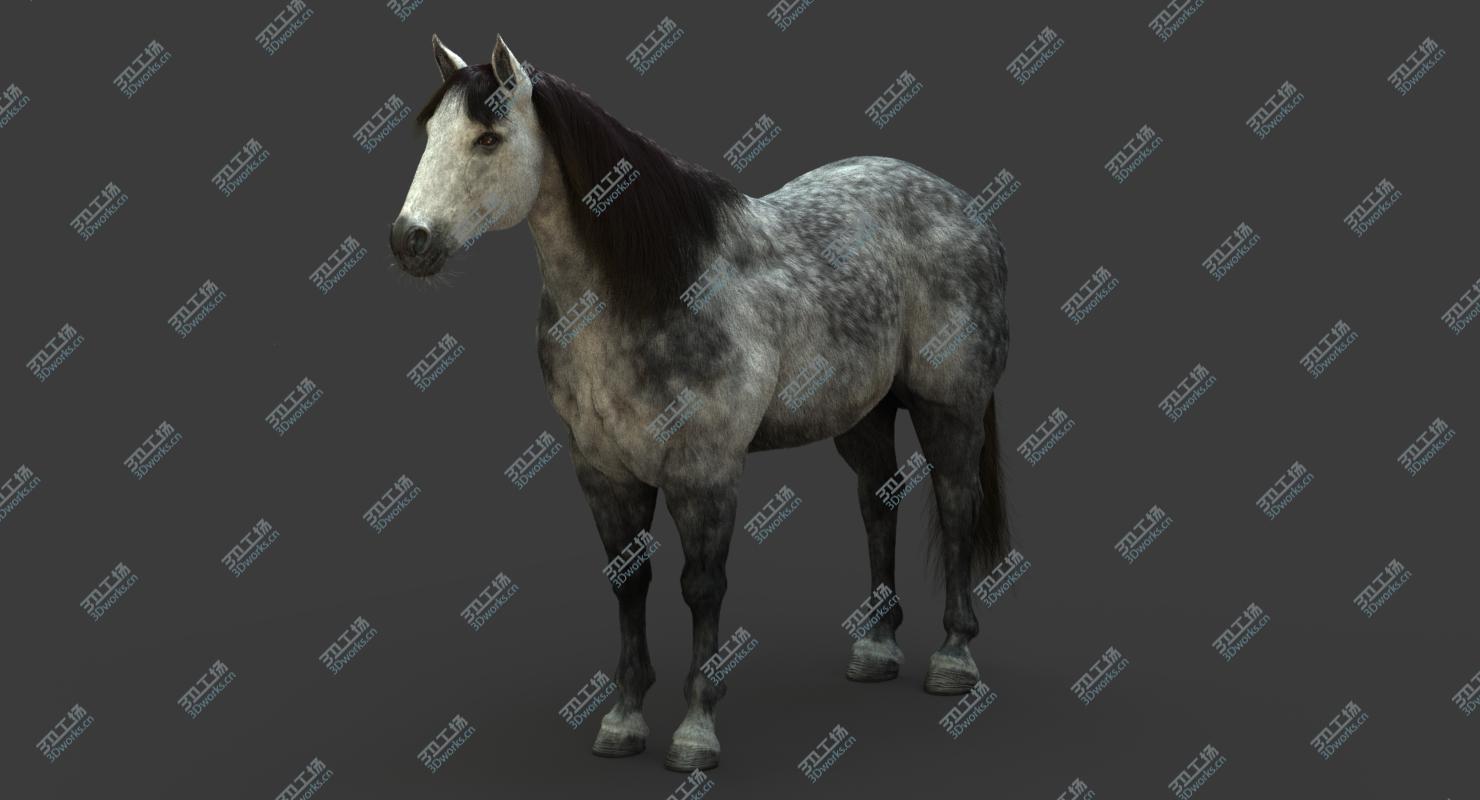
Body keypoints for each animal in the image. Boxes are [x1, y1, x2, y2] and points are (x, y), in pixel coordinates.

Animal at [390, 34, 1011, 772]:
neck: (651, 288)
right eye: (431, 131)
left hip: (950, 406)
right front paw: (623, 721)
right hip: (864, 415)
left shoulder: (705, 470)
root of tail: (963, 208)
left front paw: (694, 732)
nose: (409, 240)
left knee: (956, 503)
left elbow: (701, 586)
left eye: (487, 138)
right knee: (877, 504)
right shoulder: (603, 471)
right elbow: (628, 583)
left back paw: (953, 658)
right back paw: (876, 648)